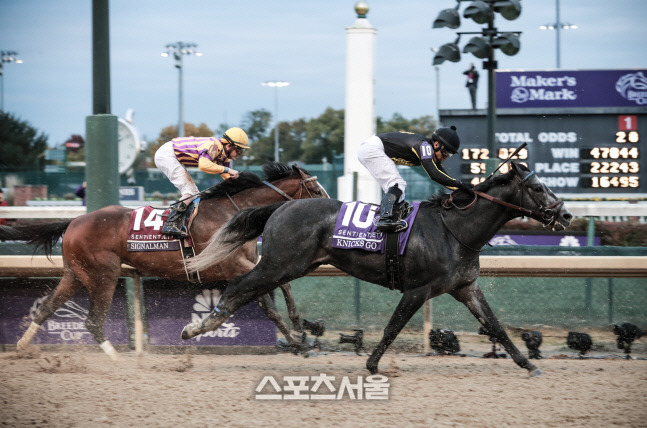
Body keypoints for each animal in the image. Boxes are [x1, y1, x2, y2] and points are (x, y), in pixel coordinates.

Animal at [2, 162, 330, 360]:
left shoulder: (256, 264)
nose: (331, 208)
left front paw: (302, 332)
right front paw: (301, 337)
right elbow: (277, 292)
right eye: (315, 188)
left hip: (75, 274)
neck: (234, 212)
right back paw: (118, 359)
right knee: (93, 320)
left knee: (46, 308)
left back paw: (22, 346)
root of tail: (73, 221)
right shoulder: (230, 266)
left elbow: (277, 298)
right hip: (102, 275)